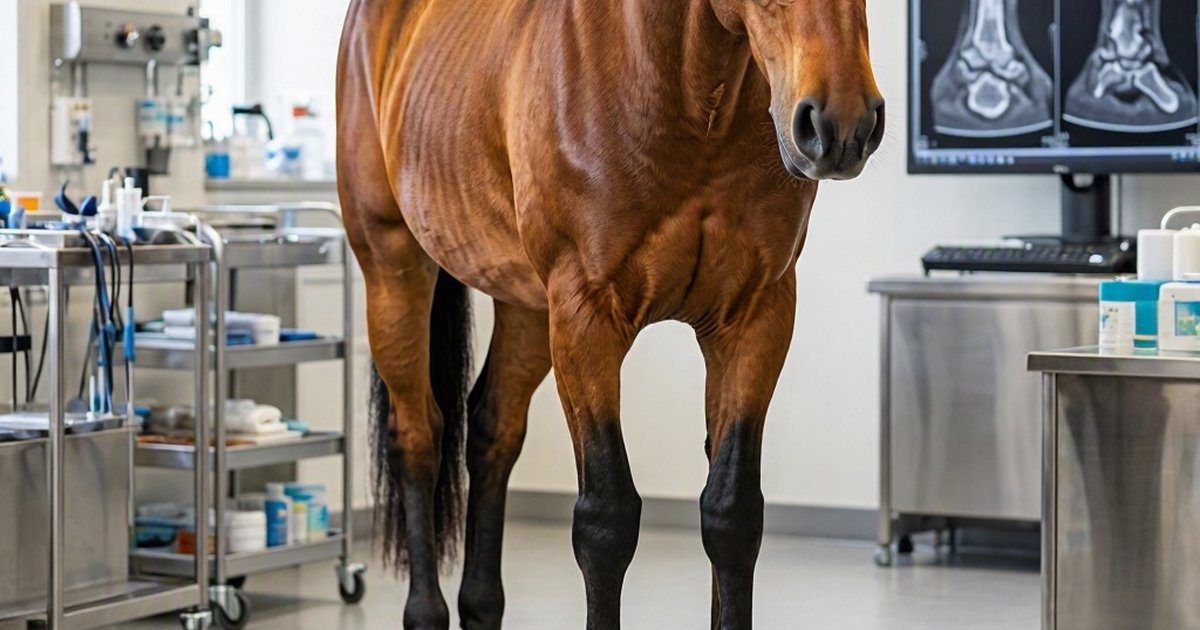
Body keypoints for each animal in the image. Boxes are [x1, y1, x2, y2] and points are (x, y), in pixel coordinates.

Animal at [336, 0, 883, 627]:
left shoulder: (756, 316)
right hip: (394, 269)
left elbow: (732, 514)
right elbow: (606, 521)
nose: (842, 125)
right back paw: (426, 610)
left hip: (525, 304)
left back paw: (480, 604)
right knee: (419, 436)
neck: (688, 97)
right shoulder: (585, 317)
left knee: (492, 430)